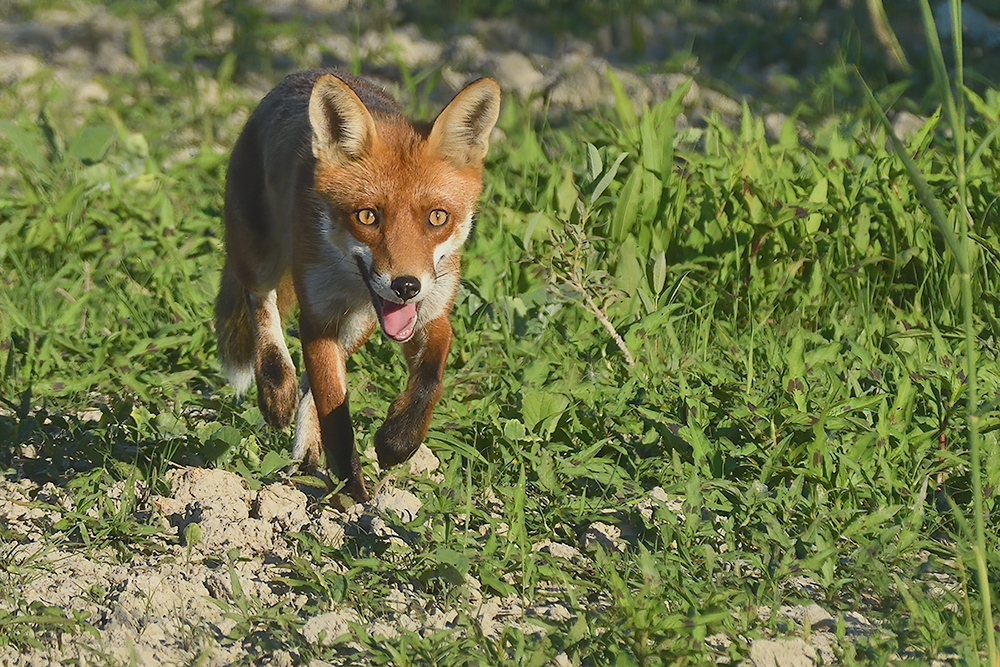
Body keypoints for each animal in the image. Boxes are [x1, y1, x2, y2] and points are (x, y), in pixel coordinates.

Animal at [216, 70, 504, 504]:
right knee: (262, 307)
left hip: (357, 327)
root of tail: (300, 76)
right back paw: (276, 387)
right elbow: (338, 423)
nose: (406, 286)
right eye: (367, 216)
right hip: (260, 257)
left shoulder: (431, 314)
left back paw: (307, 457)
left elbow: (428, 382)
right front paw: (354, 498)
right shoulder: (318, 320)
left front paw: (397, 443)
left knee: (311, 387)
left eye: (438, 217)